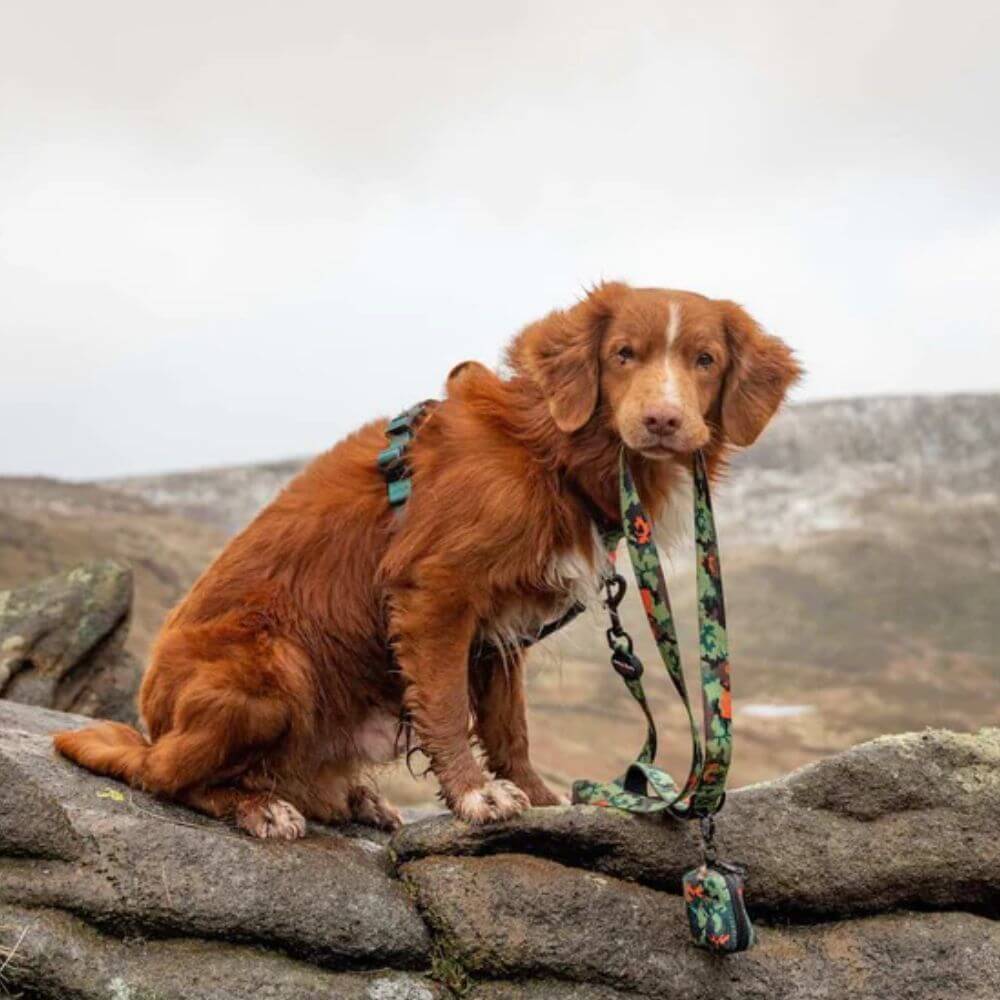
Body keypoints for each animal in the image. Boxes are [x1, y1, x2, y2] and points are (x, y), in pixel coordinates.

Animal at [56, 282, 804, 836]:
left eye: (704, 360)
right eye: (623, 354)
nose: (662, 421)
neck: (551, 453)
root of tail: (153, 720)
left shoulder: (500, 629)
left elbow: (509, 725)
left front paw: (538, 796)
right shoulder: (436, 592)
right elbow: (444, 706)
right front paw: (477, 796)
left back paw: (346, 797)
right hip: (269, 669)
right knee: (163, 775)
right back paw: (258, 805)